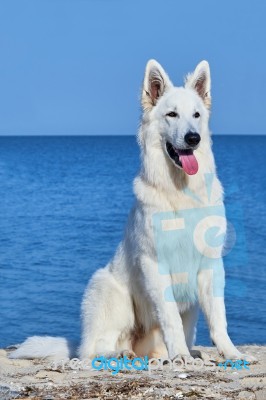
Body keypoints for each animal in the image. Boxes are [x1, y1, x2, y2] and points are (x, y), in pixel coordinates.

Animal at [10, 59, 256, 362]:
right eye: (172, 114)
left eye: (196, 115)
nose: (193, 138)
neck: (179, 191)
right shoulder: (155, 264)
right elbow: (170, 316)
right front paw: (180, 355)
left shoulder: (210, 265)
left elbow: (219, 317)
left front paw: (231, 353)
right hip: (107, 289)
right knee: (92, 349)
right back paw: (120, 354)